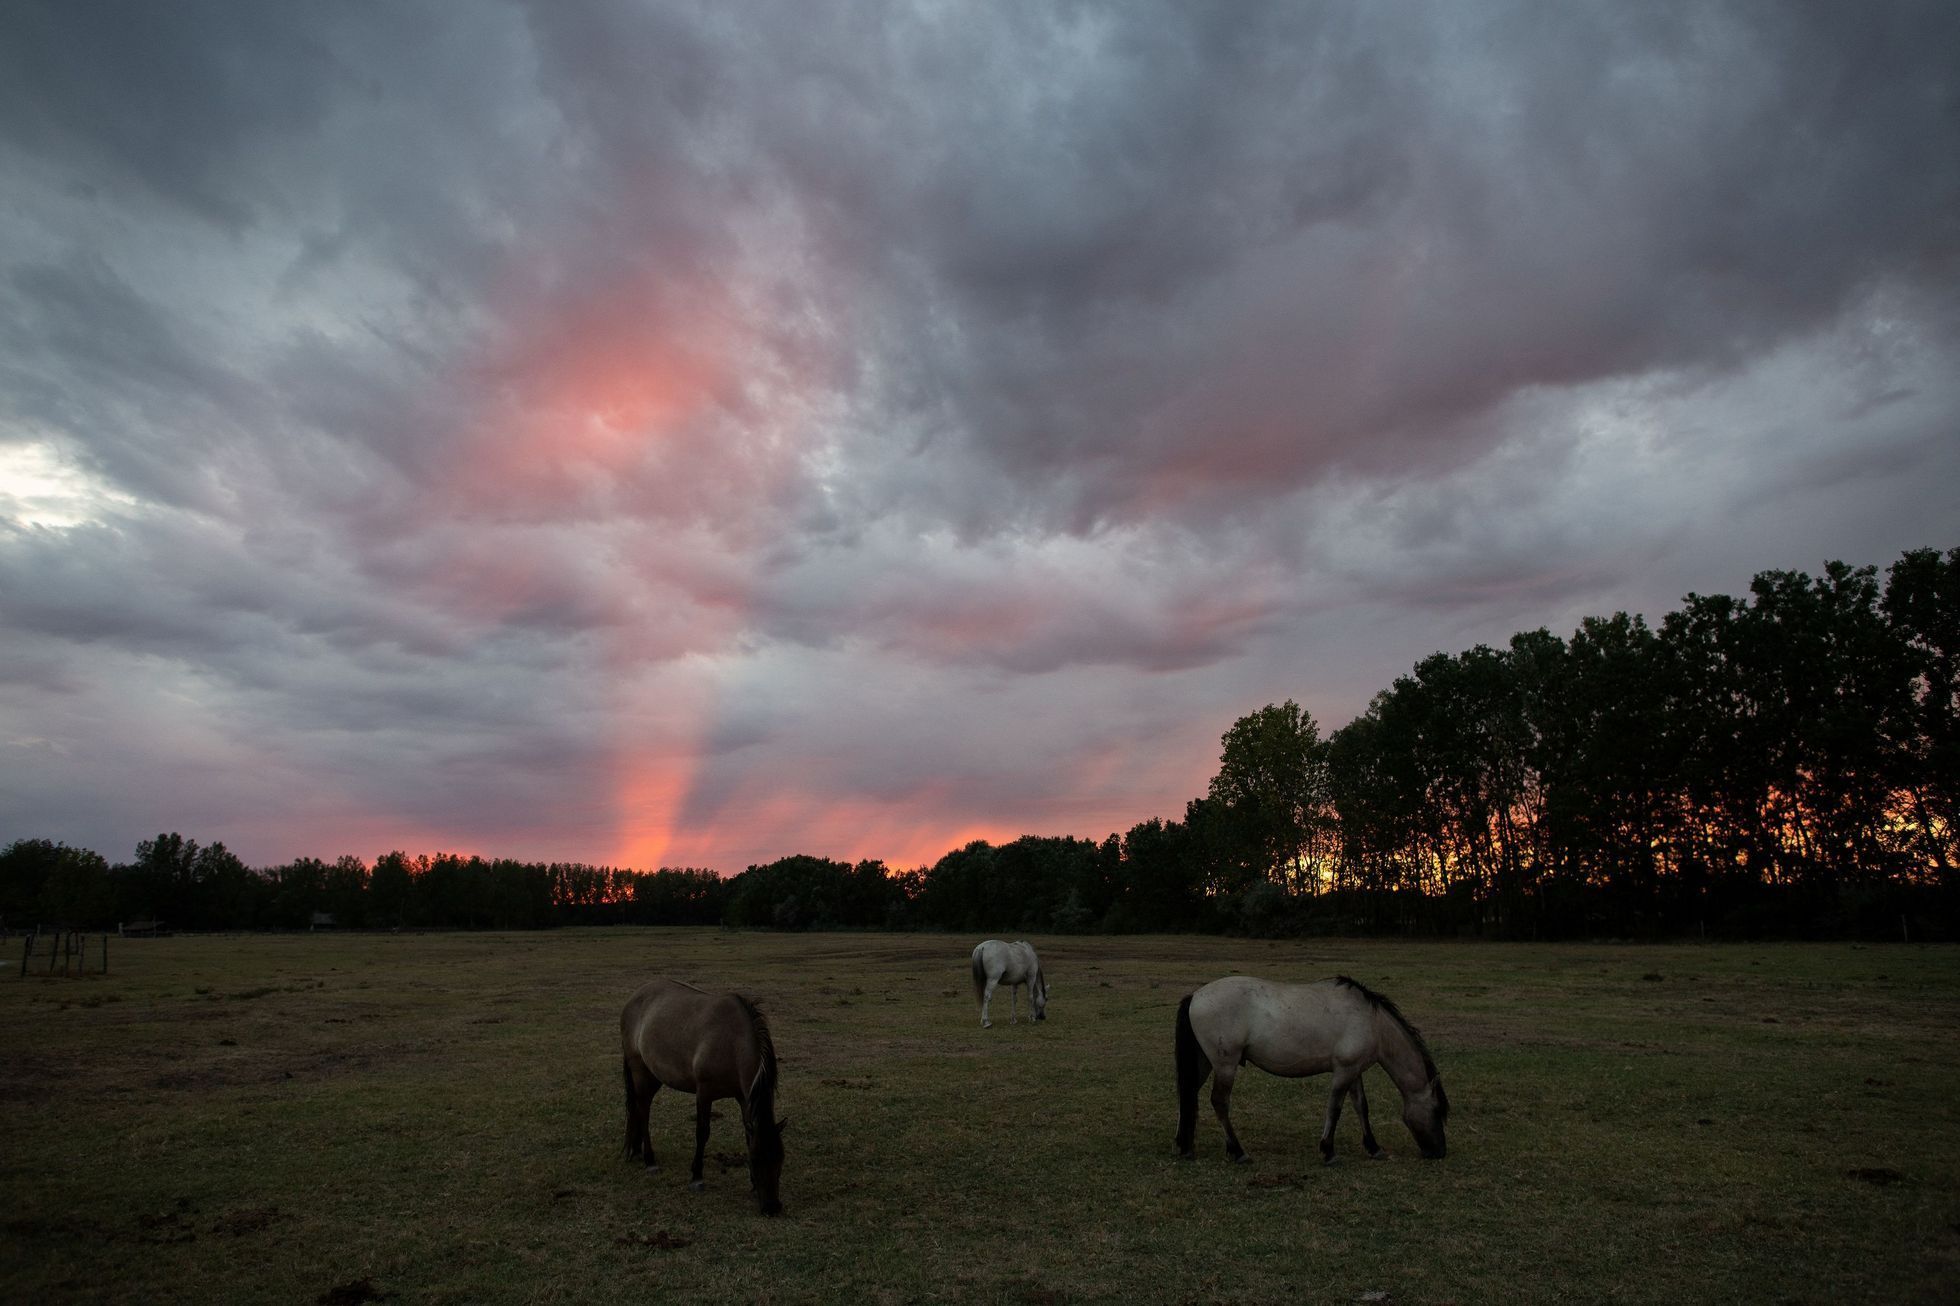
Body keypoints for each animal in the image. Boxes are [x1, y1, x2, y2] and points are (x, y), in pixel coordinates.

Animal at [623, 972, 784, 1215]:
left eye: (780, 1159)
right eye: (756, 1159)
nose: (772, 1207)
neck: (731, 1042)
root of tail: (634, 997)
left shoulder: (743, 1098)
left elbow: (747, 1134)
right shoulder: (704, 1093)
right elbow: (702, 1132)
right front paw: (697, 1176)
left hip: (653, 1075)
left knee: (641, 1108)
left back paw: (637, 1150)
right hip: (639, 1070)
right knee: (642, 1110)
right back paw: (650, 1161)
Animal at [1168, 972, 1450, 1160]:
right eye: (1438, 1110)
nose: (1439, 1152)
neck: (1371, 1022)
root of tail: (1195, 996)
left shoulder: (1353, 1070)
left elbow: (1361, 1107)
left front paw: (1374, 1148)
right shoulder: (1343, 1072)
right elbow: (1335, 1108)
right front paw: (1328, 1151)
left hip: (1204, 1062)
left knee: (1187, 1094)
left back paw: (1184, 1146)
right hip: (1225, 1064)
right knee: (1219, 1101)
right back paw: (1237, 1152)